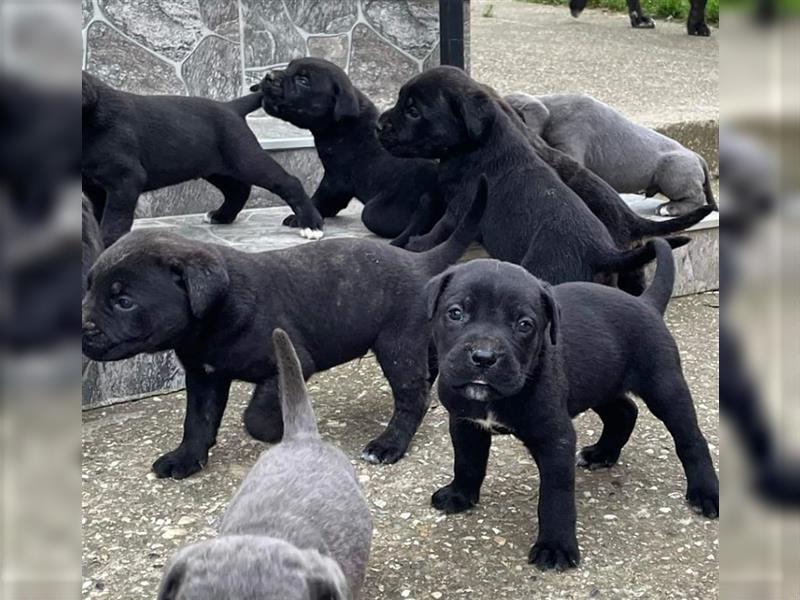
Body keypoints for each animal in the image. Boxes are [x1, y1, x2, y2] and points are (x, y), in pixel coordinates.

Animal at [79, 72, 322, 246]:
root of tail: (231, 107)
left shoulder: (126, 180)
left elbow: (114, 220)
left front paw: (107, 246)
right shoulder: (96, 187)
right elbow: (101, 216)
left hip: (247, 159)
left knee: (288, 182)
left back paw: (312, 225)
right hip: (215, 168)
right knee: (238, 189)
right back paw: (222, 215)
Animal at [79, 178, 488, 478]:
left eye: (124, 301)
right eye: (90, 287)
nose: (84, 330)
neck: (215, 313)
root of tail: (418, 261)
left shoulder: (289, 362)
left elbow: (255, 416)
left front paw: (279, 430)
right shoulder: (204, 376)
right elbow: (197, 421)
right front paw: (186, 459)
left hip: (396, 346)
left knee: (411, 396)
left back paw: (389, 444)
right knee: (427, 373)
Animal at [424, 237, 720, 568]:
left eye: (524, 324)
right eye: (455, 313)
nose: (484, 357)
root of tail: (646, 303)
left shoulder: (556, 439)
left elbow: (555, 495)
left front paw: (555, 547)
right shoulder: (464, 422)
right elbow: (466, 461)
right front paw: (459, 495)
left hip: (665, 388)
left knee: (690, 438)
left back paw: (706, 493)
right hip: (599, 382)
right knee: (624, 411)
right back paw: (602, 453)